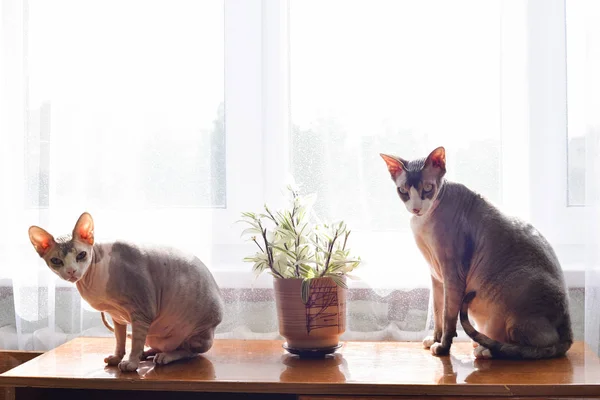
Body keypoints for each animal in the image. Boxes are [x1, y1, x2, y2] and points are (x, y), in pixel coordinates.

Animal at [28, 212, 225, 372]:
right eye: (56, 261)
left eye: (81, 255)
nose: (71, 271)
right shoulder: (117, 316)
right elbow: (120, 339)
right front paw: (117, 358)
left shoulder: (142, 311)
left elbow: (135, 341)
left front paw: (131, 363)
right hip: (155, 334)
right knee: (158, 344)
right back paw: (148, 352)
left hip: (199, 332)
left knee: (189, 352)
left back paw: (165, 356)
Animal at [380, 147, 572, 360]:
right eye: (403, 191)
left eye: (428, 188)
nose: (416, 208)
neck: (422, 221)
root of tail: (569, 330)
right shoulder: (436, 276)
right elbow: (438, 312)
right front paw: (435, 339)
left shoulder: (452, 274)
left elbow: (448, 316)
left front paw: (443, 347)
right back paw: (481, 344)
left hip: (515, 296)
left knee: (533, 346)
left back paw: (486, 349)